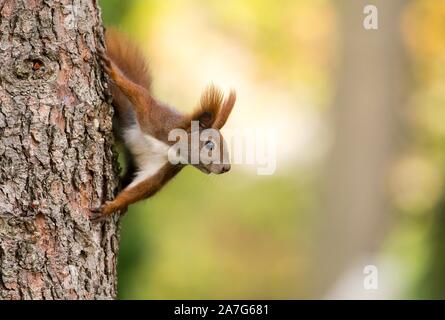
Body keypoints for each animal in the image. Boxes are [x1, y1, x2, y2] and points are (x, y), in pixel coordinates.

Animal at [90, 29, 236, 220]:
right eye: (209, 144)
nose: (227, 168)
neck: (170, 149)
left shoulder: (162, 169)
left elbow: (143, 188)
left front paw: (112, 207)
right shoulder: (154, 118)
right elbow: (139, 94)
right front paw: (113, 71)